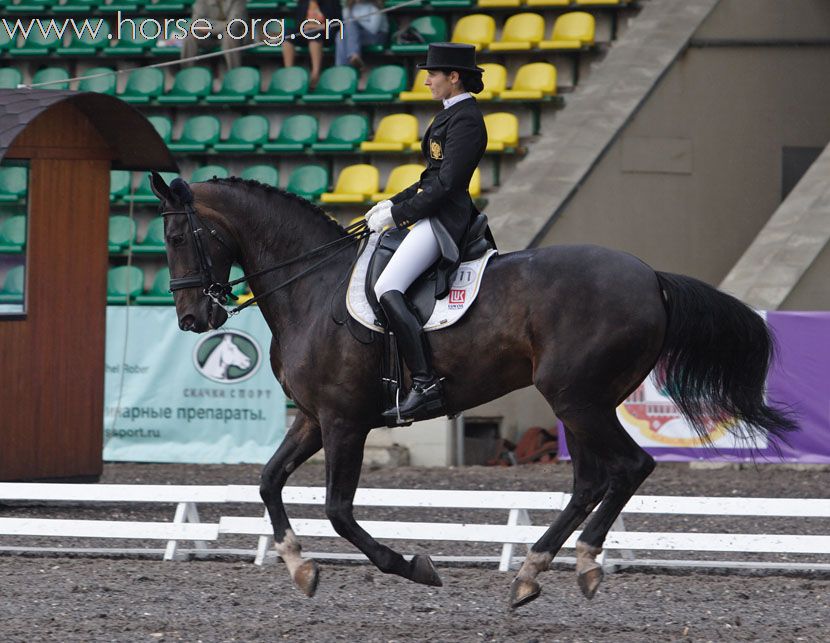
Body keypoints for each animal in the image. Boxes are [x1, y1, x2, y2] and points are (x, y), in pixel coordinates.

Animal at [151, 175, 800, 608]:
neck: (312, 287)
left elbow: (338, 510)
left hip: (577, 398)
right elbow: (267, 482)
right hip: (585, 402)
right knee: (593, 480)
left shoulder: (343, 421)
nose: (191, 319)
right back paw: (534, 570)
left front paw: (412, 566)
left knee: (628, 467)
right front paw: (297, 566)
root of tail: (652, 278)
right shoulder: (312, 417)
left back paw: (577, 564)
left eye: (180, 236)